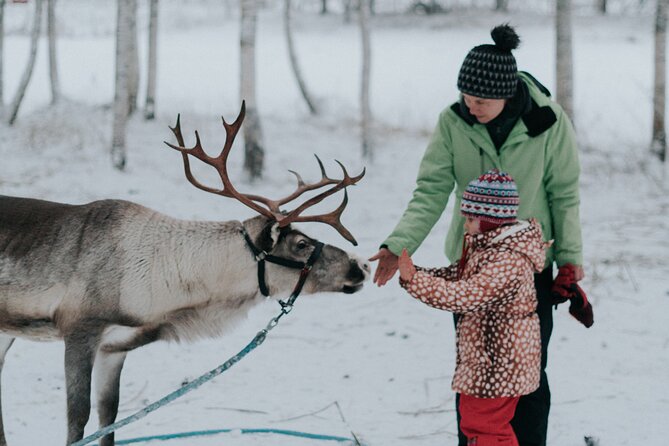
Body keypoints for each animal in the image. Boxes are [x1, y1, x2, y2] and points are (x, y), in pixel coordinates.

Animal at [0, 102, 370, 446]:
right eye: (301, 244)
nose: (361, 265)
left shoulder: (115, 346)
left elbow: (109, 416)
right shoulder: (80, 329)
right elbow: (78, 418)